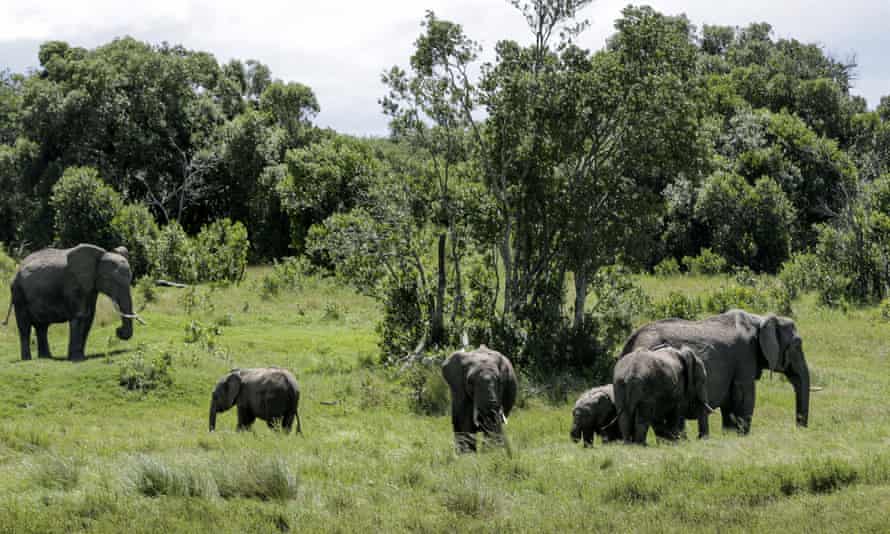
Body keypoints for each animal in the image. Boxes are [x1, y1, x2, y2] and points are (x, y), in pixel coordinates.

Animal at [3, 245, 143, 362]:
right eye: (109, 280)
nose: (118, 331)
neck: (97, 257)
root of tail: (17, 270)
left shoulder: (90, 288)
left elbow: (88, 319)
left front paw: (80, 356)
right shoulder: (74, 285)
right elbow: (80, 317)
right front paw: (77, 359)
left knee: (42, 327)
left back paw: (46, 358)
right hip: (18, 293)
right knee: (25, 326)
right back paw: (27, 359)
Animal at [620, 310, 808, 440]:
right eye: (797, 345)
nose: (799, 429)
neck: (760, 319)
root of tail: (631, 340)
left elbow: (730, 403)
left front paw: (730, 436)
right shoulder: (744, 356)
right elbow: (744, 397)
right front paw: (742, 437)